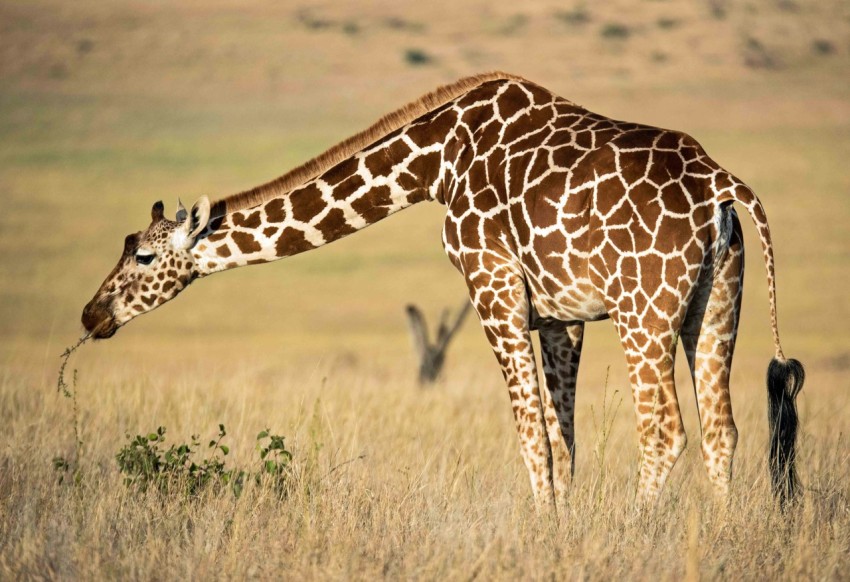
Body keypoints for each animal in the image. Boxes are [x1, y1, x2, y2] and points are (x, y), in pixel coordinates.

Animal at [82, 72, 804, 509]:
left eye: (143, 254)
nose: (91, 315)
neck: (435, 163)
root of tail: (722, 185)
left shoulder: (492, 287)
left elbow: (530, 435)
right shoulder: (558, 314)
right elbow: (561, 436)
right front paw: (564, 533)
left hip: (644, 309)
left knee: (663, 429)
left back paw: (637, 534)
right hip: (716, 300)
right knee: (721, 429)